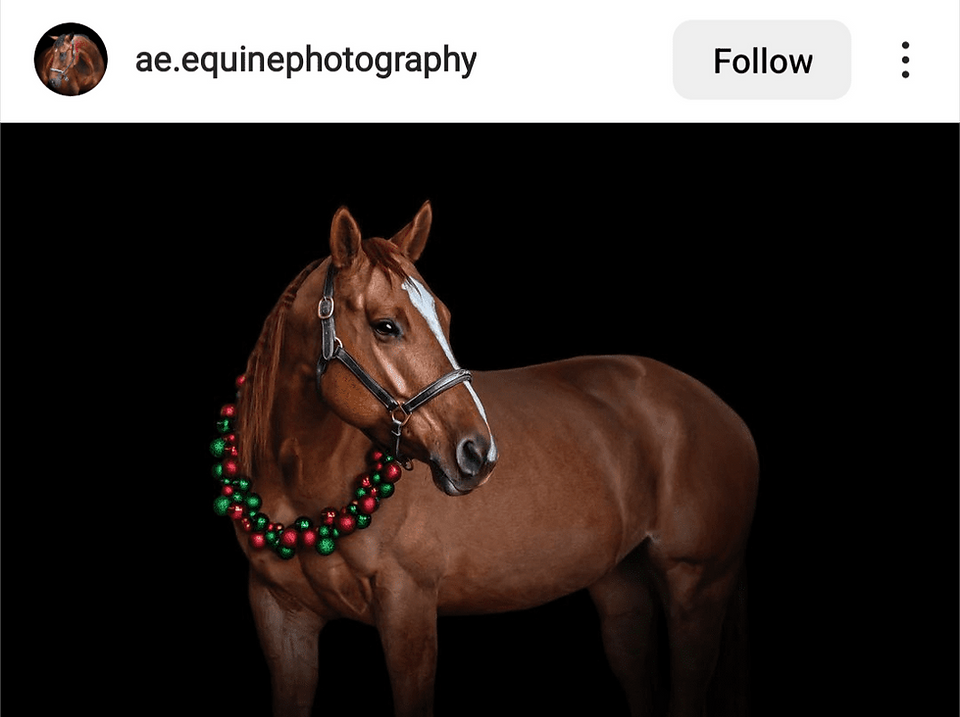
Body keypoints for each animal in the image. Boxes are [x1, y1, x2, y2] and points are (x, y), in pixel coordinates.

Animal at [212, 201, 759, 717]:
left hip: (697, 587)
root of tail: (725, 414)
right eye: (385, 326)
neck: (306, 488)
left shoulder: (409, 611)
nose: (479, 452)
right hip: (621, 587)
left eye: (446, 318)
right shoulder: (282, 622)